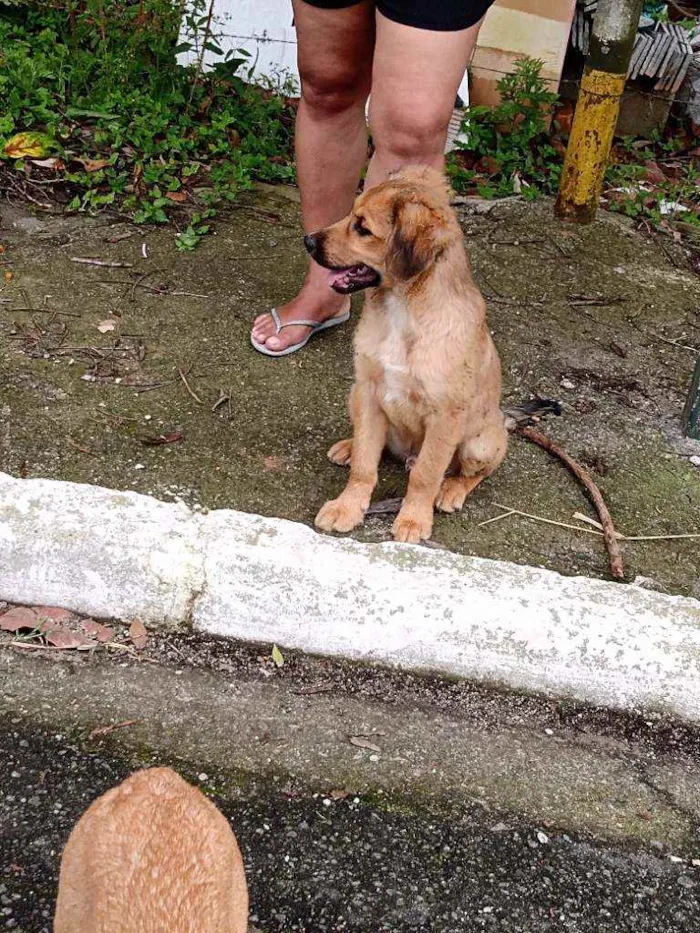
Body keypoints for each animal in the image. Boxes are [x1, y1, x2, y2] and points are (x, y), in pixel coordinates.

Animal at [306, 167, 508, 544]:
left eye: (362, 228)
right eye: (351, 213)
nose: (307, 241)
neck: (403, 311)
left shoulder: (445, 415)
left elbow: (426, 474)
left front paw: (414, 519)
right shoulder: (370, 391)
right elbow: (365, 464)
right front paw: (347, 506)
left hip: (483, 443)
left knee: (471, 472)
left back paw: (451, 489)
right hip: (353, 394)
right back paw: (348, 446)